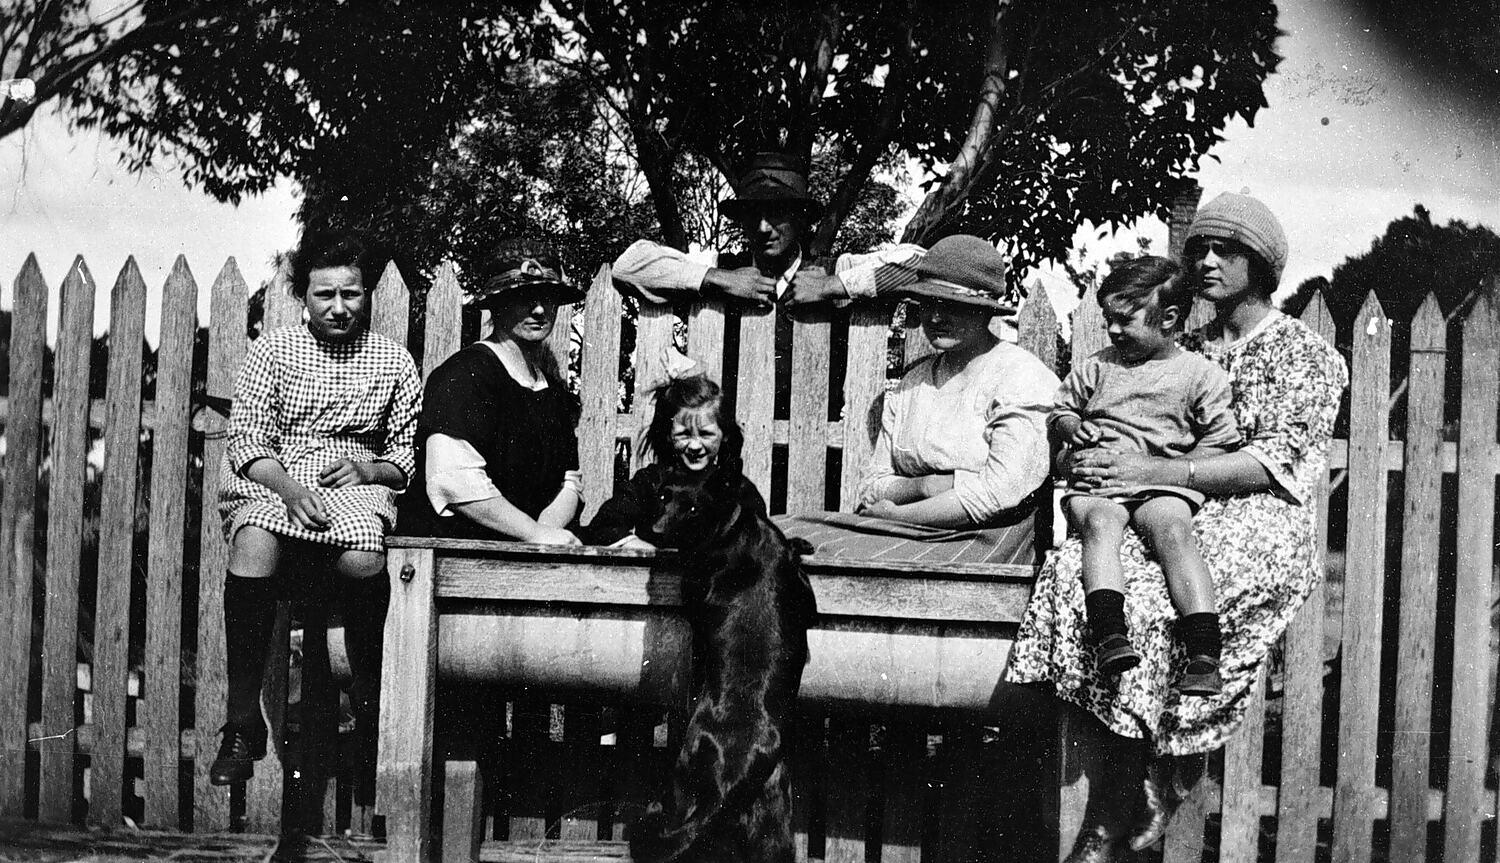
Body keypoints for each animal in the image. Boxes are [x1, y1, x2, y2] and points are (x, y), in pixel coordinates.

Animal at [633, 465, 822, 863]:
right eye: (663, 496)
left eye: (692, 509)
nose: (655, 531)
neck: (736, 530)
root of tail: (728, 788)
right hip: (774, 825)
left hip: (682, 781)